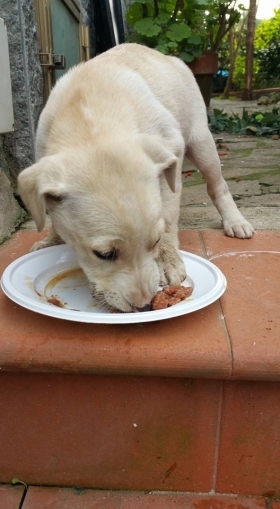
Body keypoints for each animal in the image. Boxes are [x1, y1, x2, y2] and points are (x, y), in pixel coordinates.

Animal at [17, 43, 254, 312]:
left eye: (155, 241)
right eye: (104, 254)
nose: (143, 306)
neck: (89, 120)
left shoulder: (171, 153)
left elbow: (168, 216)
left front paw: (167, 260)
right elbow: (54, 216)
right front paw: (51, 241)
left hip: (200, 141)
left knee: (217, 184)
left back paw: (235, 221)